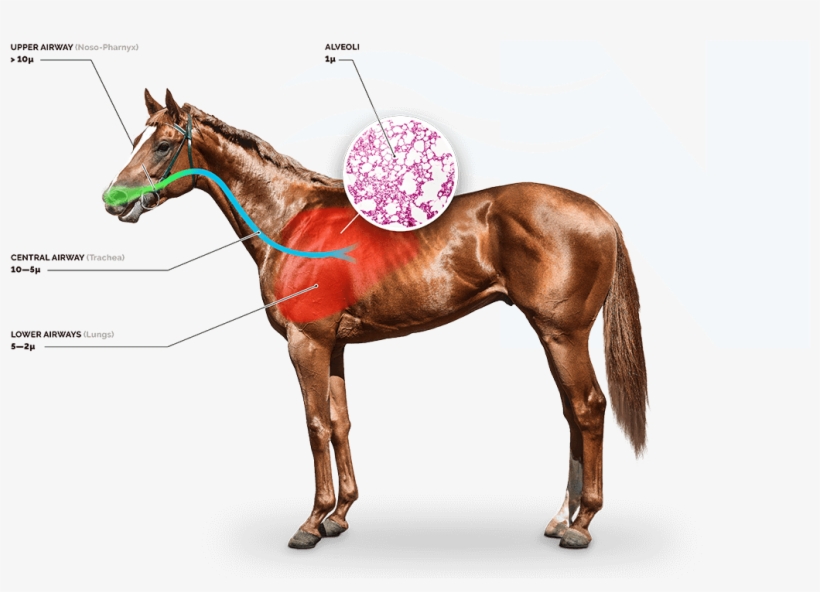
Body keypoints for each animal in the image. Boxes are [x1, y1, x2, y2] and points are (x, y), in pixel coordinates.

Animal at [103, 89, 647, 550]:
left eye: (164, 144)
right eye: (135, 140)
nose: (113, 201)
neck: (292, 220)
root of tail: (599, 213)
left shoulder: (306, 343)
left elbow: (315, 425)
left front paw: (311, 523)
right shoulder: (335, 346)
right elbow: (340, 422)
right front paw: (339, 516)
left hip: (562, 334)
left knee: (588, 408)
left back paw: (580, 525)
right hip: (552, 336)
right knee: (572, 413)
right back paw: (560, 518)